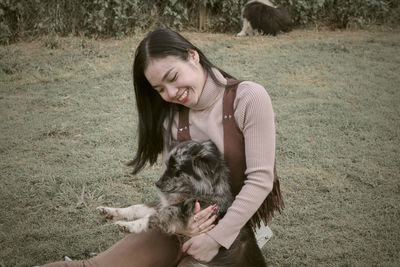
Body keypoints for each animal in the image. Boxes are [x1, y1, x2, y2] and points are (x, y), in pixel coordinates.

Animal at [96, 140, 266, 267]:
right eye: (167, 165)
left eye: (177, 171)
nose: (157, 184)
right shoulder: (162, 204)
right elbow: (135, 208)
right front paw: (110, 211)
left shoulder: (179, 211)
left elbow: (154, 218)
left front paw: (129, 226)